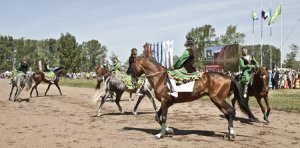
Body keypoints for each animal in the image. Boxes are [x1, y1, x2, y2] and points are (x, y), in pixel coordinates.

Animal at [127, 56, 255, 140]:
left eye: (131, 65)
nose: (131, 80)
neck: (160, 78)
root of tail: (228, 77)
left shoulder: (164, 102)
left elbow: (162, 117)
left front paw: (160, 134)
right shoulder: (167, 103)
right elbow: (157, 117)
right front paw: (168, 130)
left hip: (217, 99)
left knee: (231, 111)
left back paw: (232, 133)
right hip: (218, 100)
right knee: (228, 114)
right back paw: (229, 133)